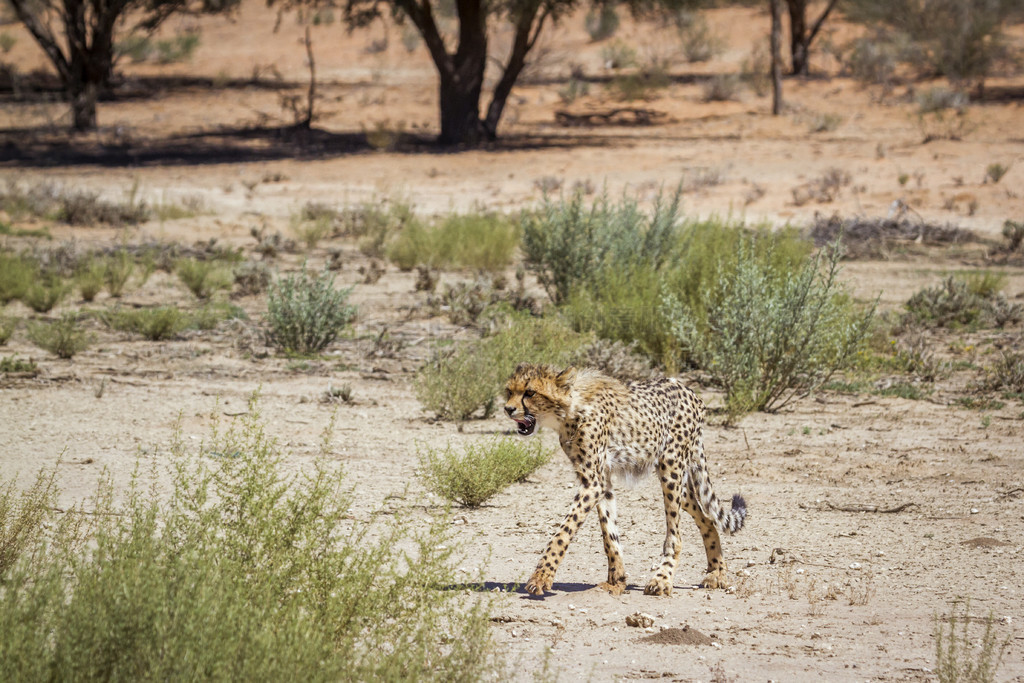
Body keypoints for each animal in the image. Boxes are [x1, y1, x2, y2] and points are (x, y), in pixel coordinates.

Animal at [501, 362, 745, 598]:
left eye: (530, 392)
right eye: (510, 391)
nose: (508, 409)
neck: (570, 410)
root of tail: (687, 389)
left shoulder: (593, 482)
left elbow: (563, 533)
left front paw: (541, 577)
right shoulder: (601, 480)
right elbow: (609, 534)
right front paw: (616, 581)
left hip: (671, 467)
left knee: (676, 536)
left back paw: (662, 580)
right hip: (680, 483)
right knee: (707, 519)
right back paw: (717, 573)